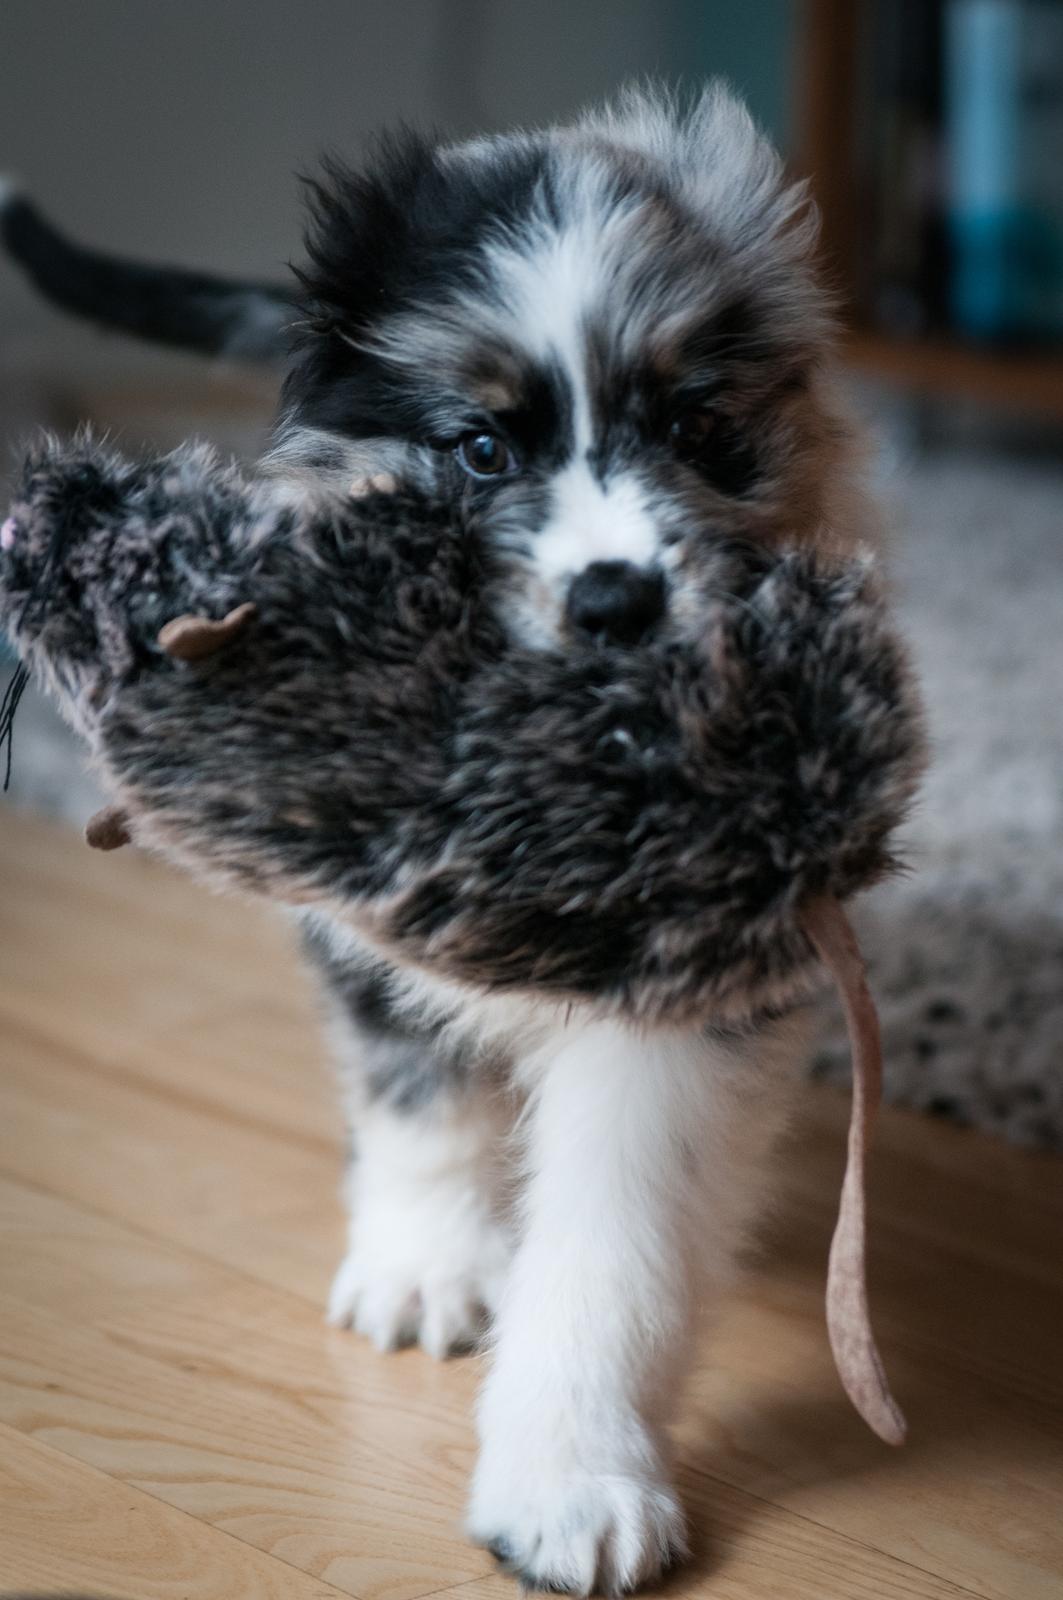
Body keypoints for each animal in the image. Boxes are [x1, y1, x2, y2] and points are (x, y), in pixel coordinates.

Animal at [2, 90, 877, 1600]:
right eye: (479, 450)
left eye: (696, 425)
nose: (615, 600)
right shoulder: (359, 880)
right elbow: (414, 1090)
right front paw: (425, 1265)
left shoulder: (684, 987)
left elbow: (617, 1242)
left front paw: (571, 1479)